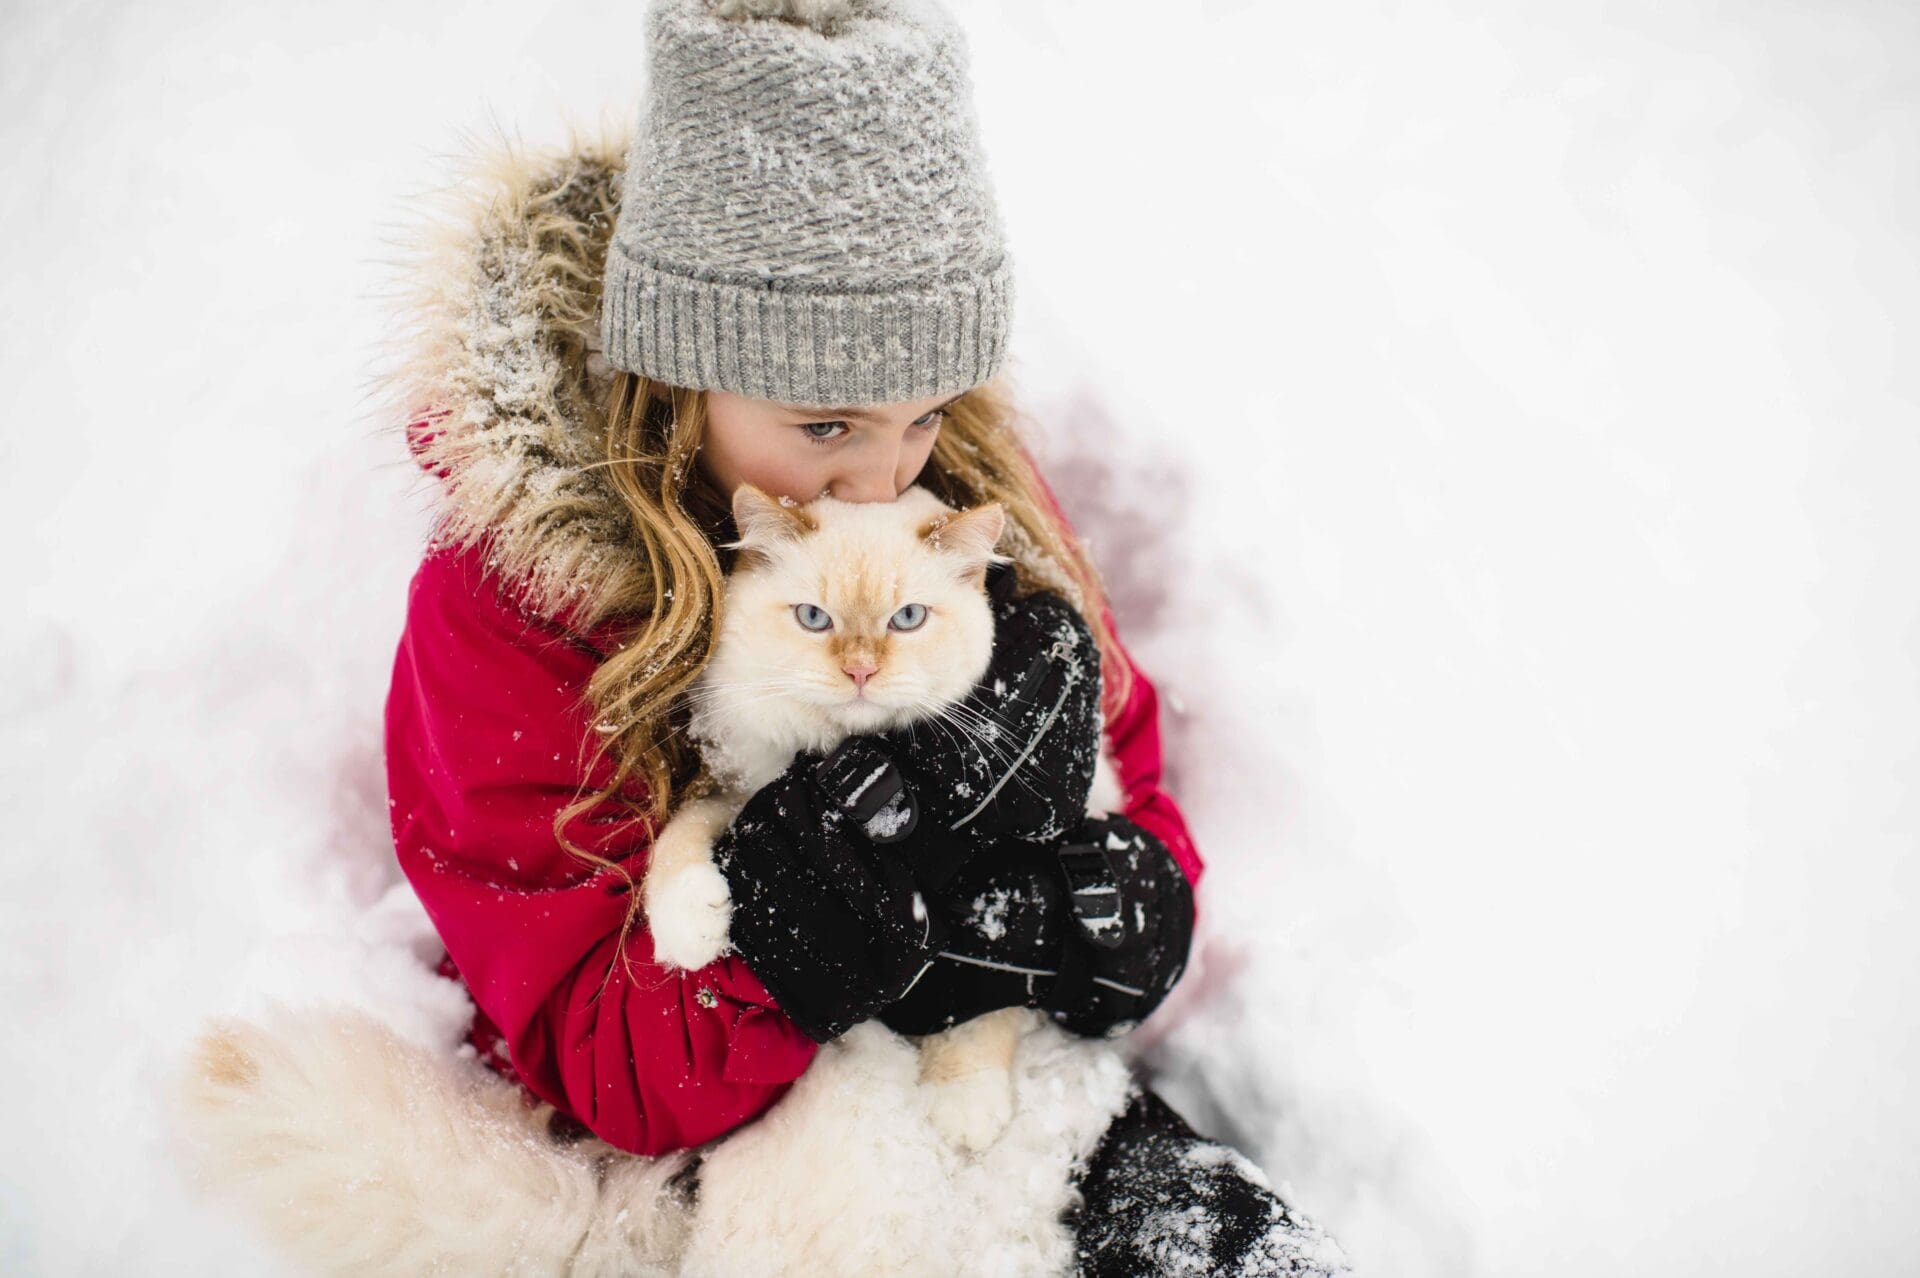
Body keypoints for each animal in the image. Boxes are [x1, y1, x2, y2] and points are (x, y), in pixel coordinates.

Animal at [648, 475, 1121, 1143]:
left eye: (908, 619)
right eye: (813, 619)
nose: (860, 670)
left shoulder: (1016, 881)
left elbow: (997, 1000)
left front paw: (965, 1101)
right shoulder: (744, 792)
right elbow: (677, 840)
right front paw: (690, 925)